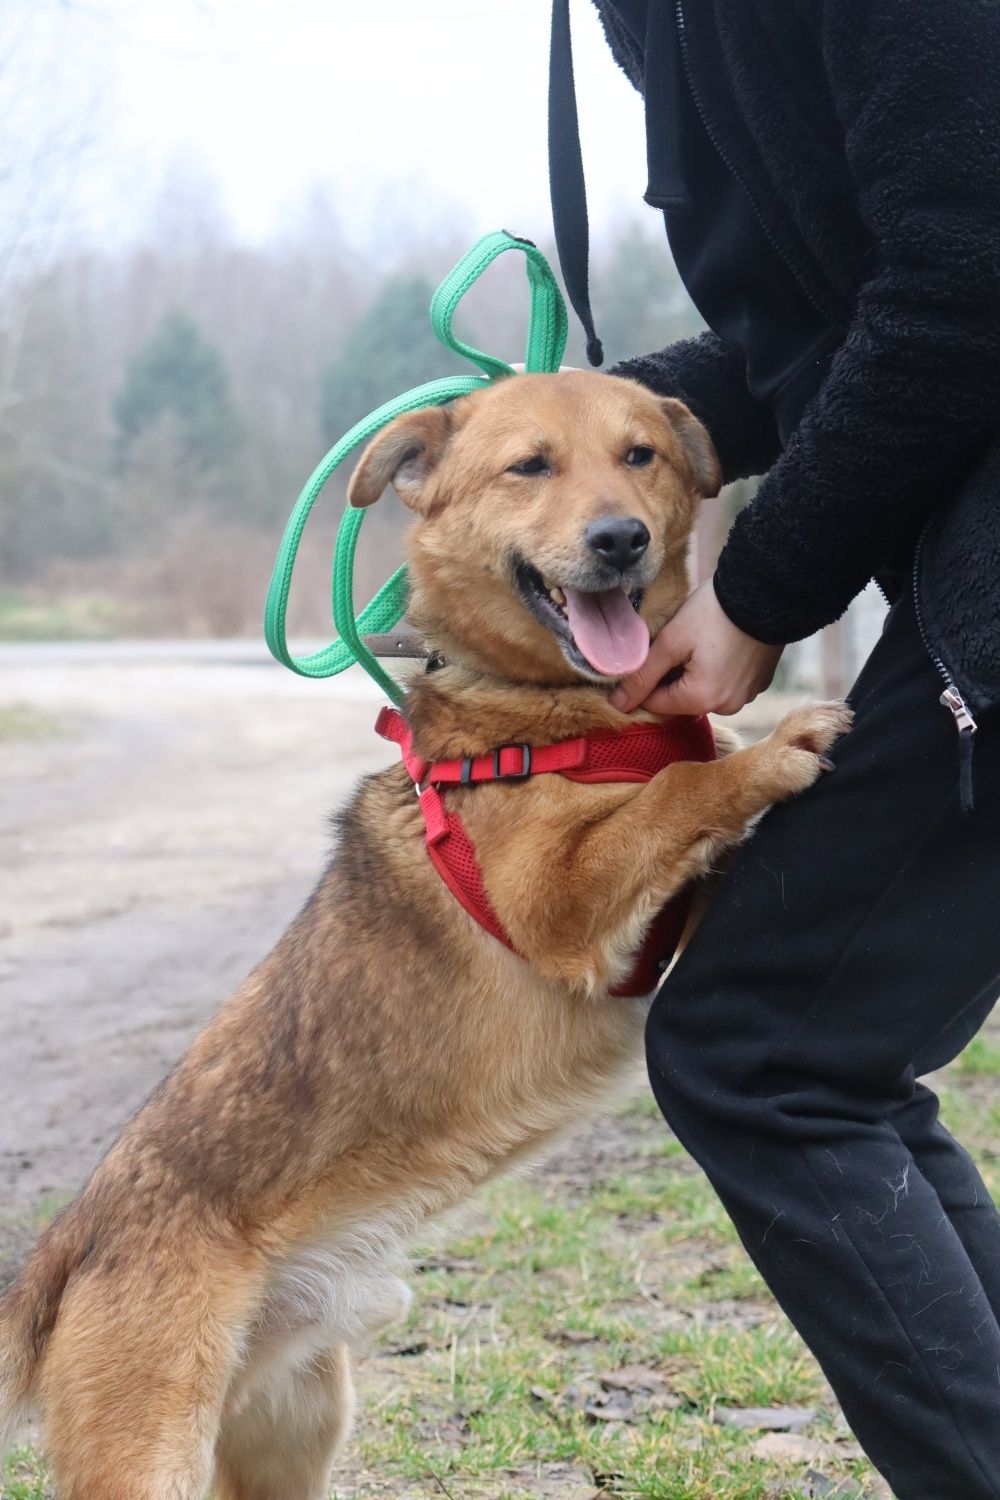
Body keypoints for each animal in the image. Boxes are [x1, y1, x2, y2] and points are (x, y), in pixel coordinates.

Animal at [0, 369, 851, 1494]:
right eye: (530, 466)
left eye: (641, 456)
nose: (620, 538)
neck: (552, 713)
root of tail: (65, 1246)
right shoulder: (558, 899)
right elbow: (676, 791)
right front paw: (765, 750)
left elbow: (682, 805)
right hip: (152, 1457)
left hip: (296, 1431)